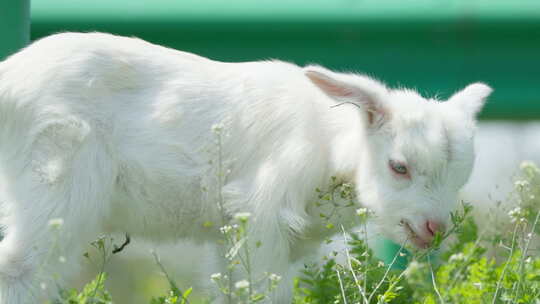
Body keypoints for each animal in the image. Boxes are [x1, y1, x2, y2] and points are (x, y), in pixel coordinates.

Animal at [0, 32, 490, 302]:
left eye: (461, 176)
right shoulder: (260, 215)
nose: (433, 229)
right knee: (19, 268)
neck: (325, 140)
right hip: (57, 177)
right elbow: (263, 292)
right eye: (399, 167)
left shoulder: (237, 235)